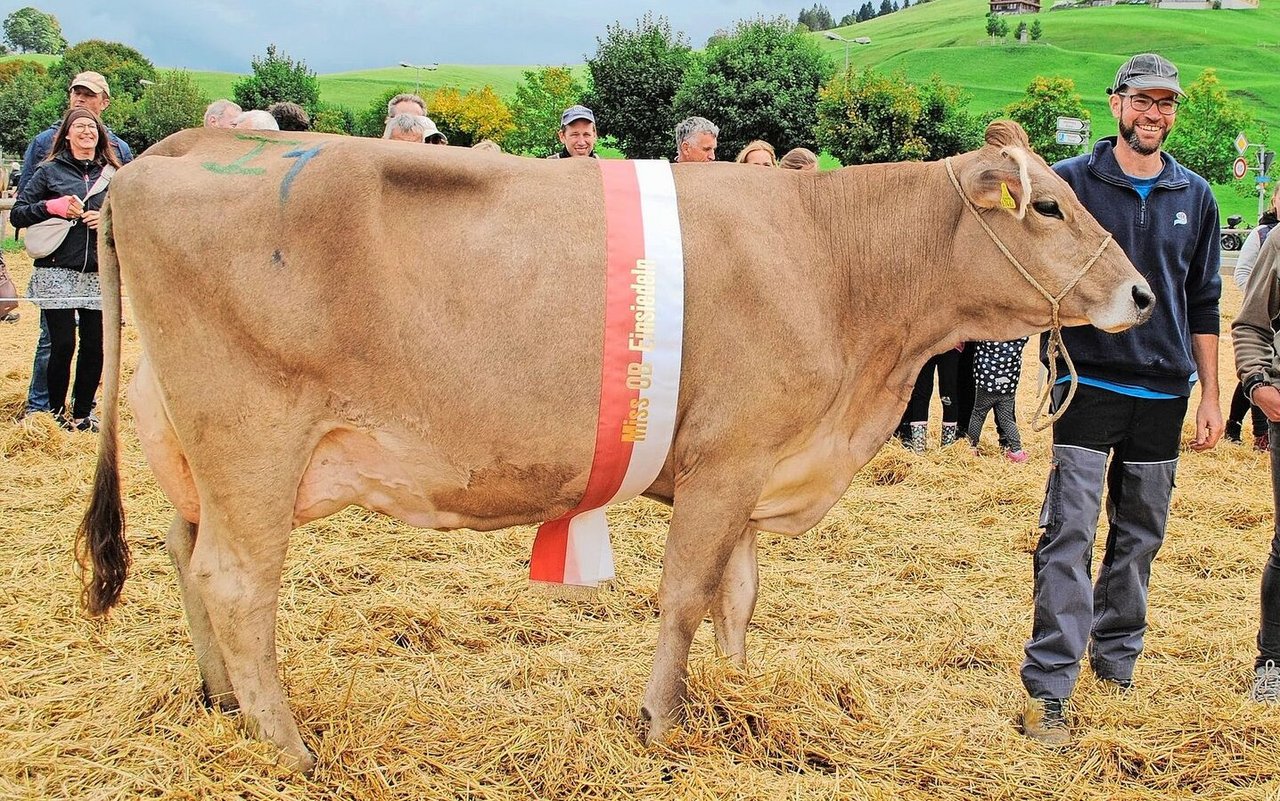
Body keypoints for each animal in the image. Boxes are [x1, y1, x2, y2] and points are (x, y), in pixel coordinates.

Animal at [85, 121, 1157, 772]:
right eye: (1049, 206)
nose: (1145, 294)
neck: (834, 265)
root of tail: (172, 152)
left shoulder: (758, 465)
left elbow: (739, 594)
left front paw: (738, 691)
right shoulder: (731, 457)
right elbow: (685, 595)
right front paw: (661, 720)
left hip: (180, 439)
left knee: (184, 554)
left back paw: (221, 702)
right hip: (252, 441)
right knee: (235, 581)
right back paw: (290, 746)